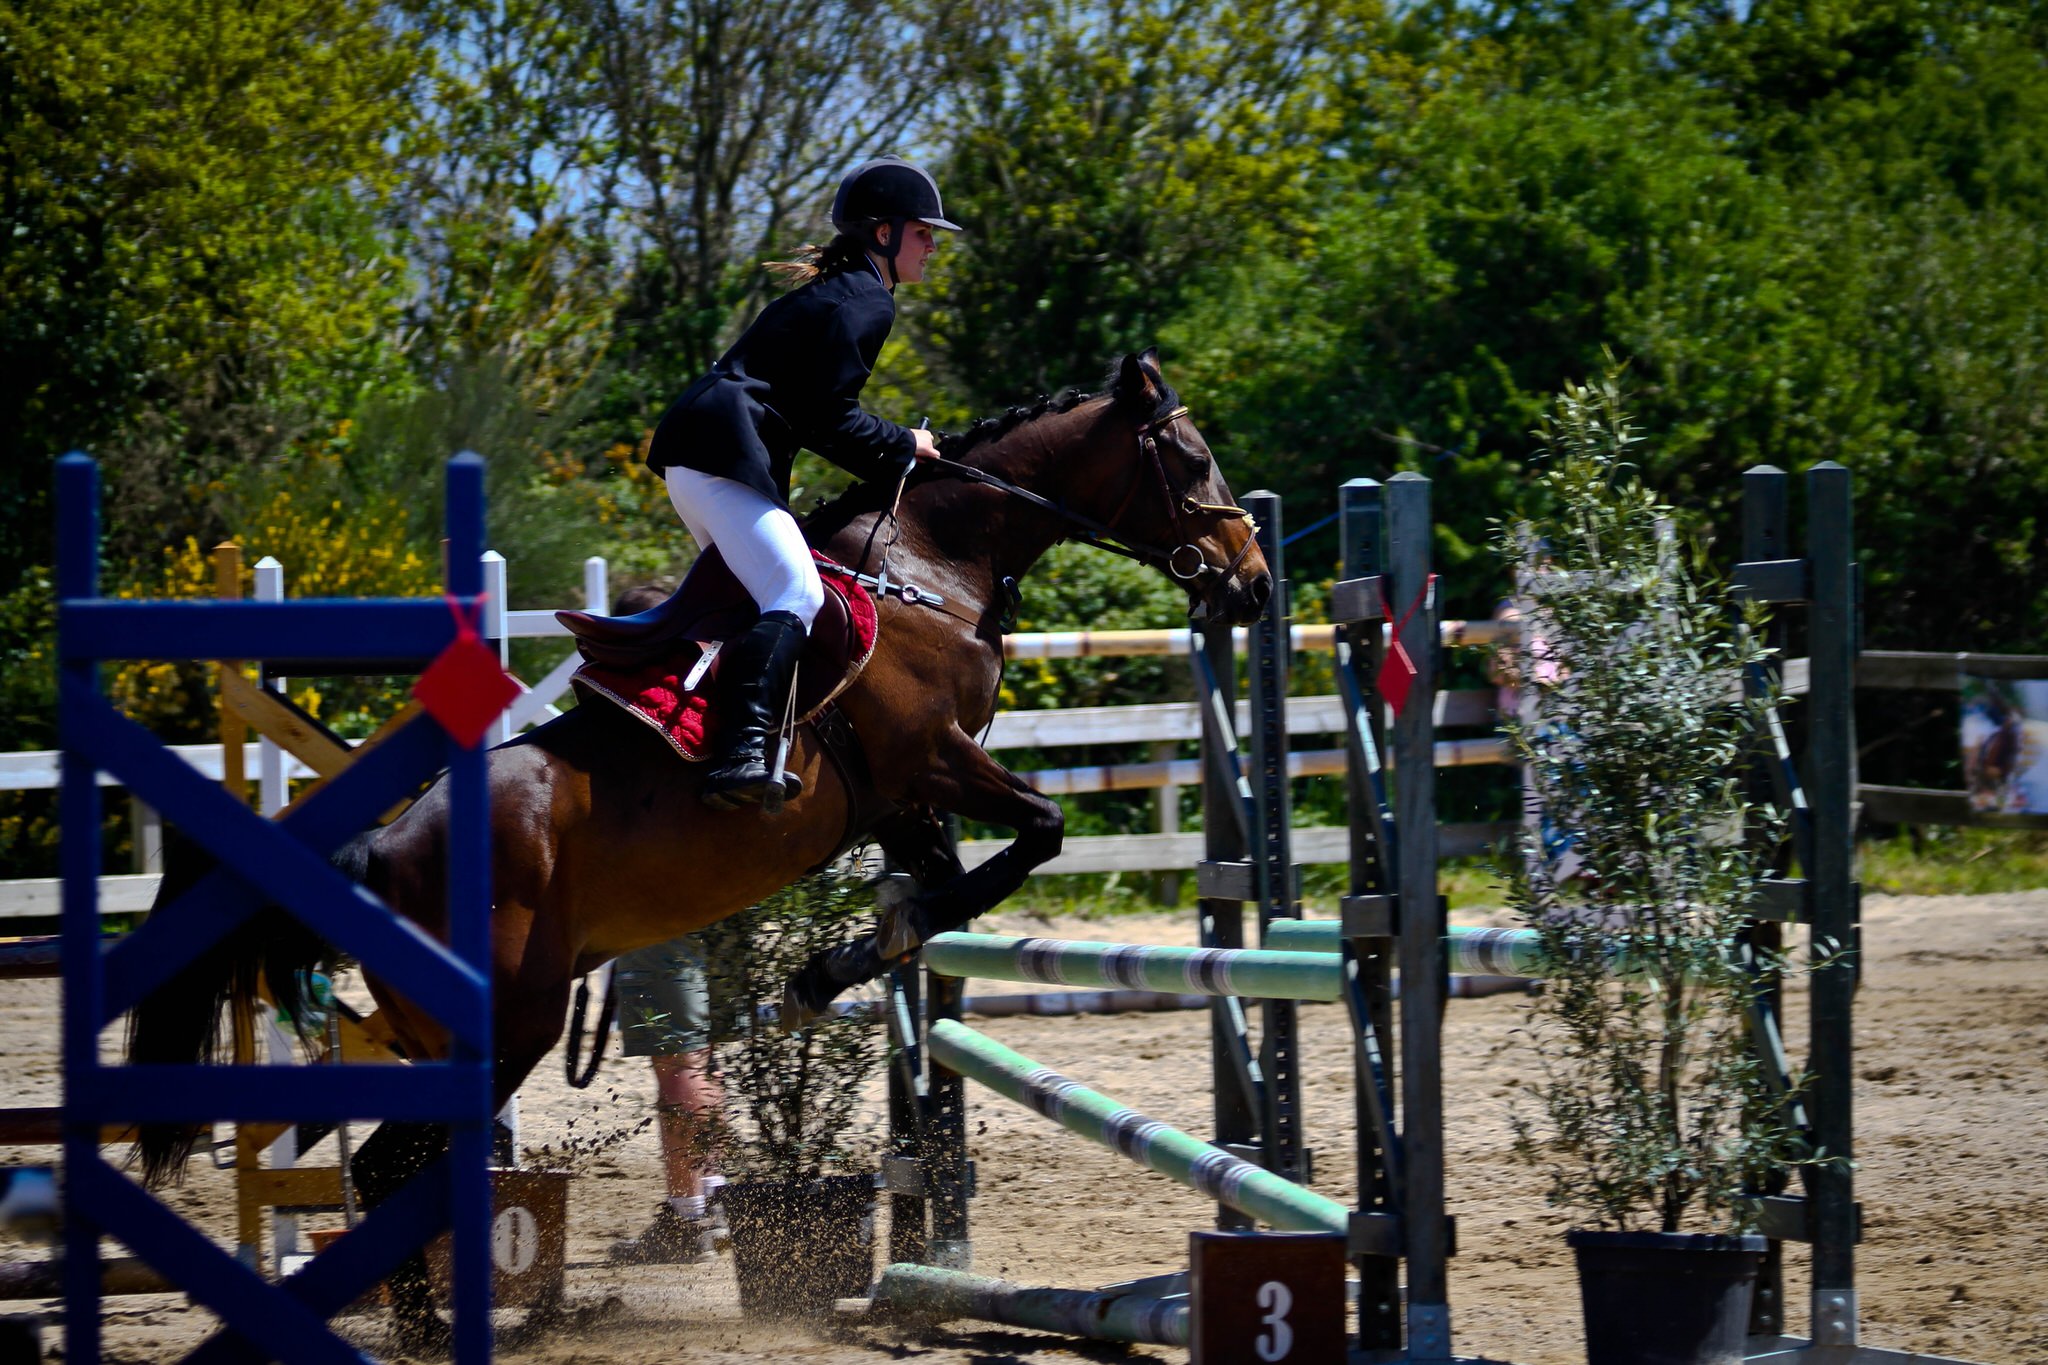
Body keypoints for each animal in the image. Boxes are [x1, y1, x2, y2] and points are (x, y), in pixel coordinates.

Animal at [123, 349, 1261, 1334]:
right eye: (1189, 456)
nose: (1248, 582)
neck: (930, 568)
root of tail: (378, 850)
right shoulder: (932, 761)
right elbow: (1037, 833)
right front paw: (832, 966)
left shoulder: (899, 799)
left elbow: (948, 887)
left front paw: (840, 963)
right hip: (508, 1026)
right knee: (385, 1169)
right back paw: (424, 1329)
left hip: (450, 1035)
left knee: (394, 1170)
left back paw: (421, 1323)